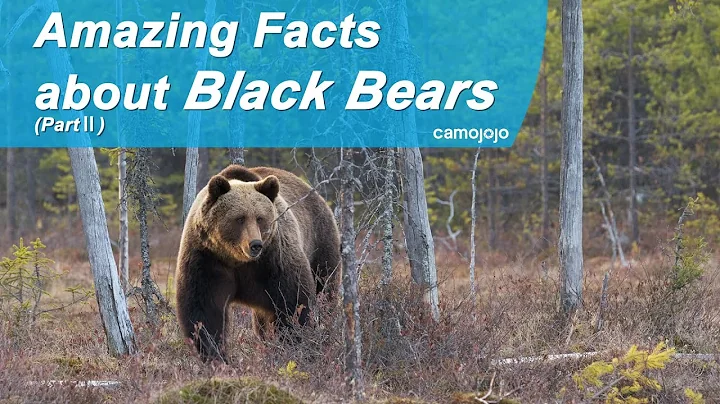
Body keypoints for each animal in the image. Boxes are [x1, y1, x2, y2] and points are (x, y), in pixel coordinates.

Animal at [175, 164, 341, 362]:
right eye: (239, 218)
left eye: (260, 218)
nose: (255, 244)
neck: (237, 259)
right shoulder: (206, 258)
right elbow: (205, 310)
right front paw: (215, 355)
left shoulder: (274, 259)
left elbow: (293, 302)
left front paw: (294, 345)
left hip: (320, 242)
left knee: (325, 289)